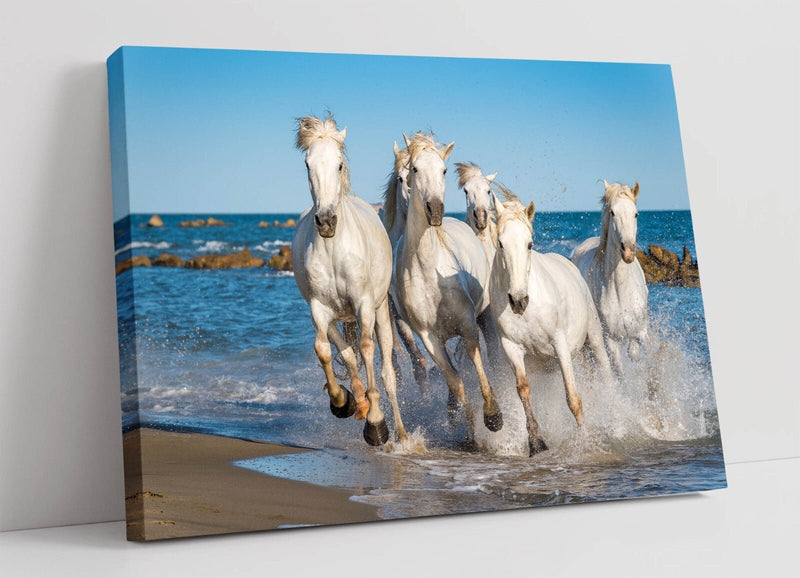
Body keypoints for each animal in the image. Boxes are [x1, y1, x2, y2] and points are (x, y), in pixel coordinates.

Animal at [291, 115, 407, 445]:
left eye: (339, 164)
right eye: (307, 164)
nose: (326, 221)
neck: (334, 249)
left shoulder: (364, 304)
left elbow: (368, 350)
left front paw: (377, 424)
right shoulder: (318, 308)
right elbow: (324, 351)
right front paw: (343, 401)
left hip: (380, 312)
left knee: (387, 372)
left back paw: (401, 434)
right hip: (334, 318)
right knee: (345, 353)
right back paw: (358, 401)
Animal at [391, 132, 503, 435]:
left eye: (443, 170)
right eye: (414, 169)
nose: (435, 210)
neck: (429, 271)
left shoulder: (467, 322)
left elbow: (476, 361)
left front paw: (493, 415)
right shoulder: (429, 338)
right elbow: (455, 380)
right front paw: (471, 427)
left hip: (485, 316)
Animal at [489, 189, 614, 455]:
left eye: (529, 244)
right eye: (501, 243)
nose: (518, 300)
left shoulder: (559, 344)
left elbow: (573, 398)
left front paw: (585, 441)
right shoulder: (511, 348)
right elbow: (523, 390)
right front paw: (536, 442)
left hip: (593, 338)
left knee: (605, 373)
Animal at [571, 181, 648, 377]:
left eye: (636, 213)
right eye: (613, 212)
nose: (628, 251)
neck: (621, 291)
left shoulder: (642, 331)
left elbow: (640, 355)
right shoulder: (611, 342)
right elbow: (620, 373)